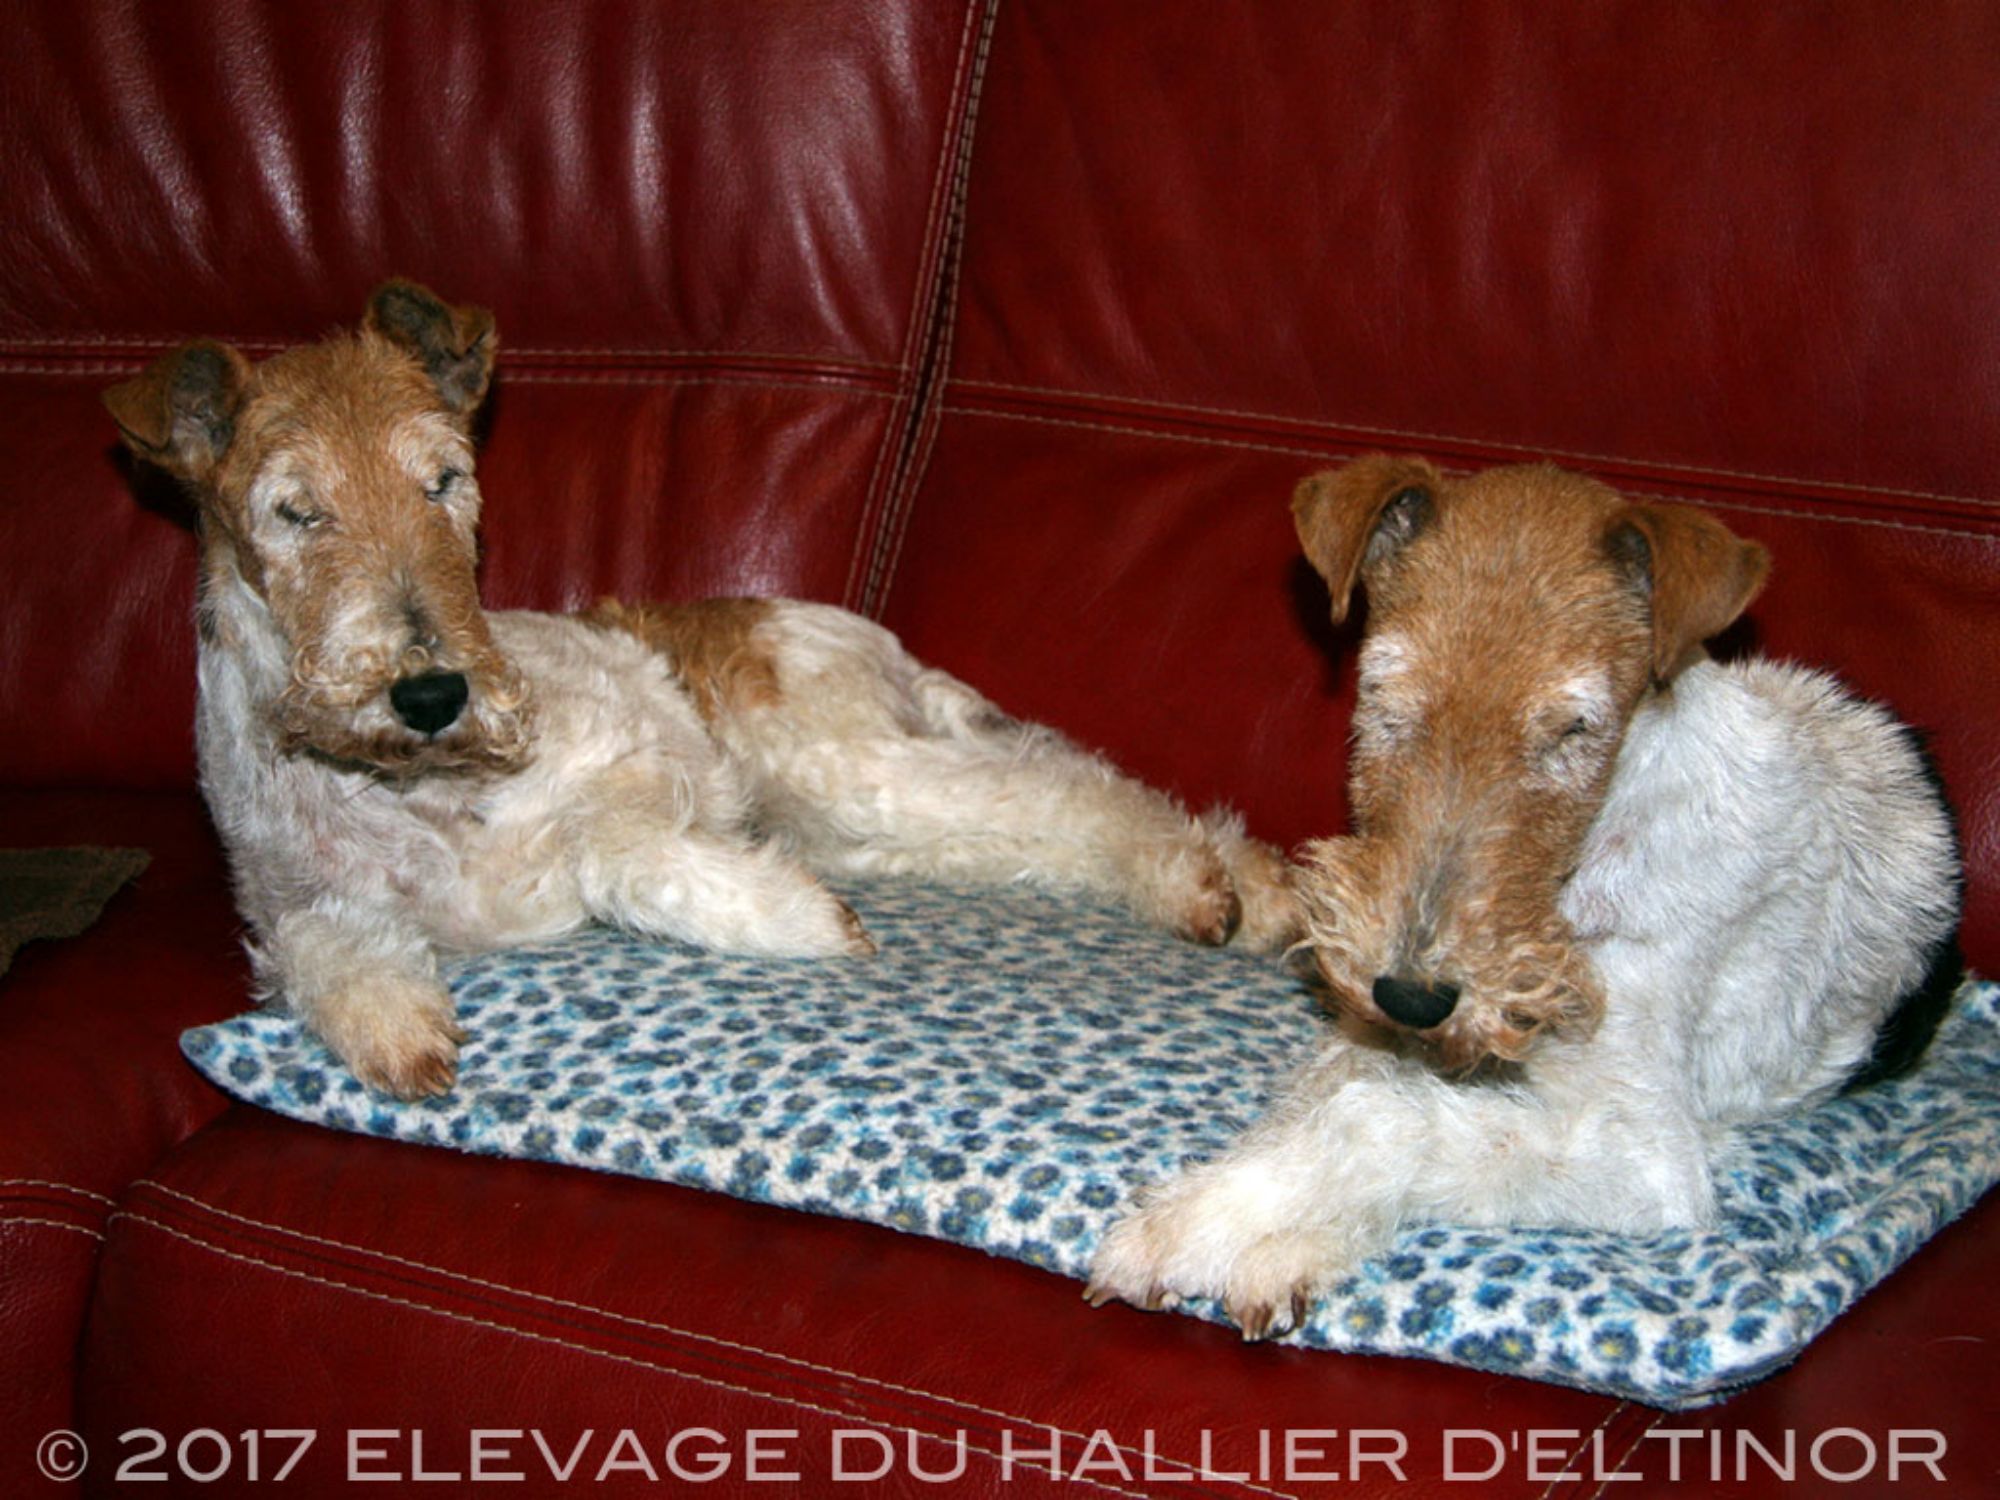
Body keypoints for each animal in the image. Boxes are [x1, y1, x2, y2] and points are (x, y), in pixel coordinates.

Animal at [104, 281, 1296, 1099]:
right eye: (294, 509)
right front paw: (396, 1025)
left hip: (848, 767)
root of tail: (869, 634)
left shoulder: (637, 768)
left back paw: (1203, 886)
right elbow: (322, 946)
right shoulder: (284, 897)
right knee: (1054, 796)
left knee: (1078, 789)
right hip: (859, 817)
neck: (415, 792)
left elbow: (616, 853)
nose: (434, 693)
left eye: (444, 477)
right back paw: (1257, 898)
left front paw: (805, 924)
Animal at [1086, 456, 1962, 1338]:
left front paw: (1185, 1229)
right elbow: (1330, 1098)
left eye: (1575, 729)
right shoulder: (1375, 1030)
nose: (1412, 994)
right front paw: (1272, 1240)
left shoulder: (1646, 1153)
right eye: (1384, 696)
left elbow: (1380, 1121)